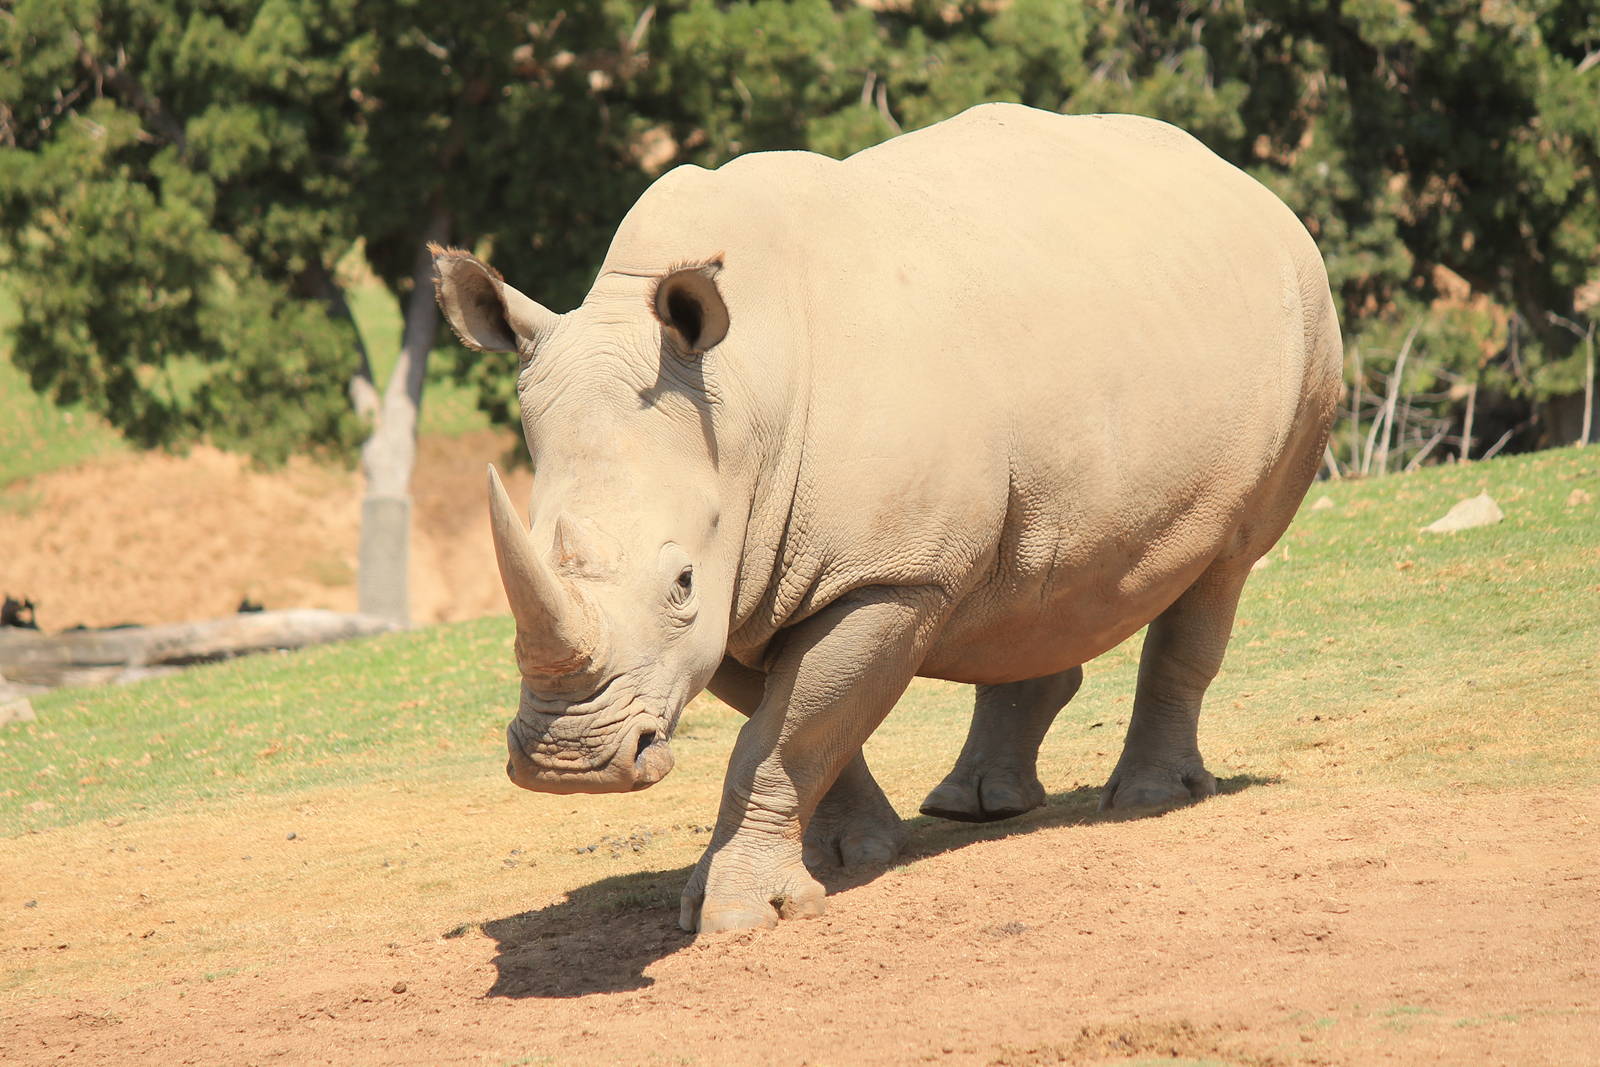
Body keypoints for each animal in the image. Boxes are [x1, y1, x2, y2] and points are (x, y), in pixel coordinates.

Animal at [433, 103, 1341, 934]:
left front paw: (736, 915)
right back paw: (978, 805)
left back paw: (1147, 799)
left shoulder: (886, 572)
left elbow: (783, 739)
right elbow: (798, 728)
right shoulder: (754, 579)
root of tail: (1246, 183)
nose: (569, 762)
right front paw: (851, 854)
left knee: (1227, 561)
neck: (741, 401)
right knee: (1034, 578)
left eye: (682, 581)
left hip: (1305, 318)